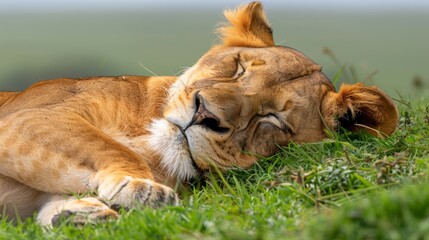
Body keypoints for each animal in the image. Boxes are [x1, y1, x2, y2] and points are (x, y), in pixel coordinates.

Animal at [0, 1, 398, 226]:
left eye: (272, 120)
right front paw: (142, 189)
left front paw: (77, 213)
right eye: (237, 67)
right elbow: (109, 148)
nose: (204, 113)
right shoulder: (26, 117)